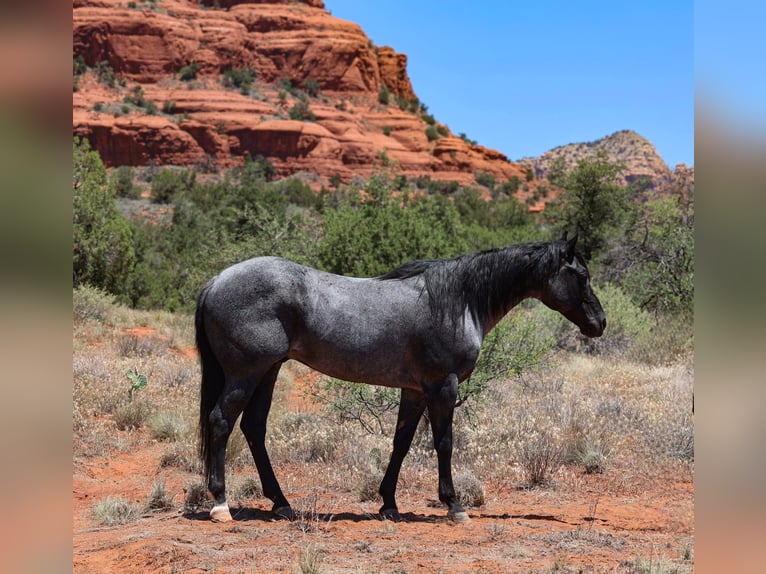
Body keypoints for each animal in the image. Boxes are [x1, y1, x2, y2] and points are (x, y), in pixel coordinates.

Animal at [195, 235, 606, 524]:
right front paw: (454, 505)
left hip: (269, 370)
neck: (458, 301)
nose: (599, 323)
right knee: (221, 422)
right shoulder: (443, 386)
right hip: (246, 373)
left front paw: (388, 504)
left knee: (253, 428)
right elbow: (444, 444)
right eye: (581, 276)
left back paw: (281, 503)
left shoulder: (413, 391)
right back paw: (221, 504)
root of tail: (216, 280)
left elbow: (401, 444)